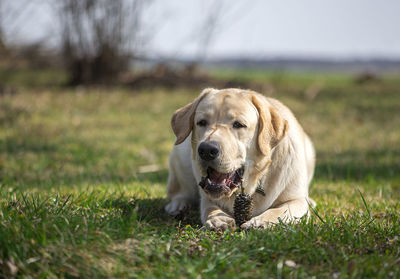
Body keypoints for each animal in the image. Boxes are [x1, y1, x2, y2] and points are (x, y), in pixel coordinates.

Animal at [164, 88, 314, 231]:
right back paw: (178, 204)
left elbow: (279, 211)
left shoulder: (296, 200)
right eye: (201, 122)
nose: (206, 150)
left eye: (238, 124)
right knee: (180, 192)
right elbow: (210, 208)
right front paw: (218, 219)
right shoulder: (208, 198)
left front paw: (260, 221)